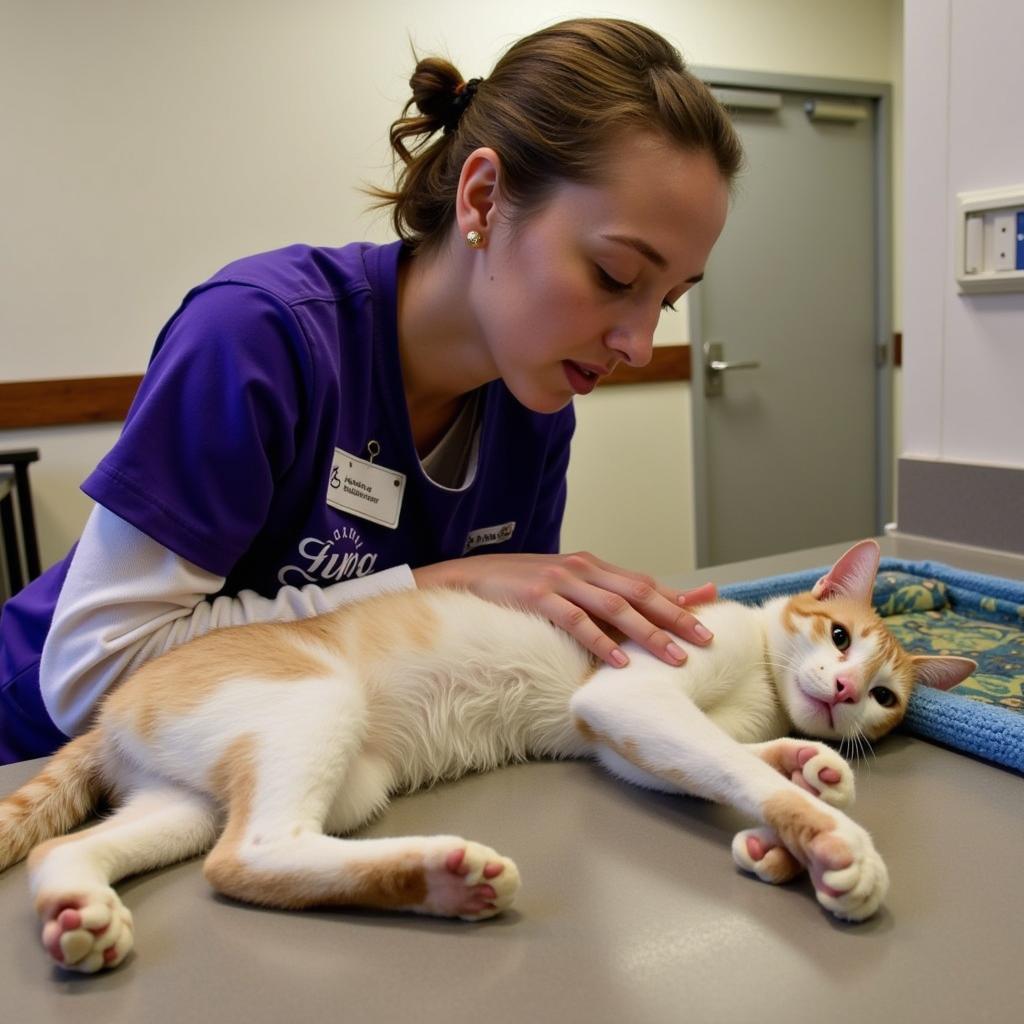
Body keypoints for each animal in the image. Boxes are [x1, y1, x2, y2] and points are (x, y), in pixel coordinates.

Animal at [0, 540, 974, 970]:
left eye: (886, 698)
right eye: (839, 635)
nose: (844, 691)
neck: (761, 687)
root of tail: (111, 711)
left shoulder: (621, 738)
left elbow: (726, 758)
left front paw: (806, 774)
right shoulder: (629, 695)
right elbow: (726, 763)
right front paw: (826, 840)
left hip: (190, 798)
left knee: (73, 847)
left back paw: (77, 913)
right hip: (317, 708)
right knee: (252, 855)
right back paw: (443, 879)